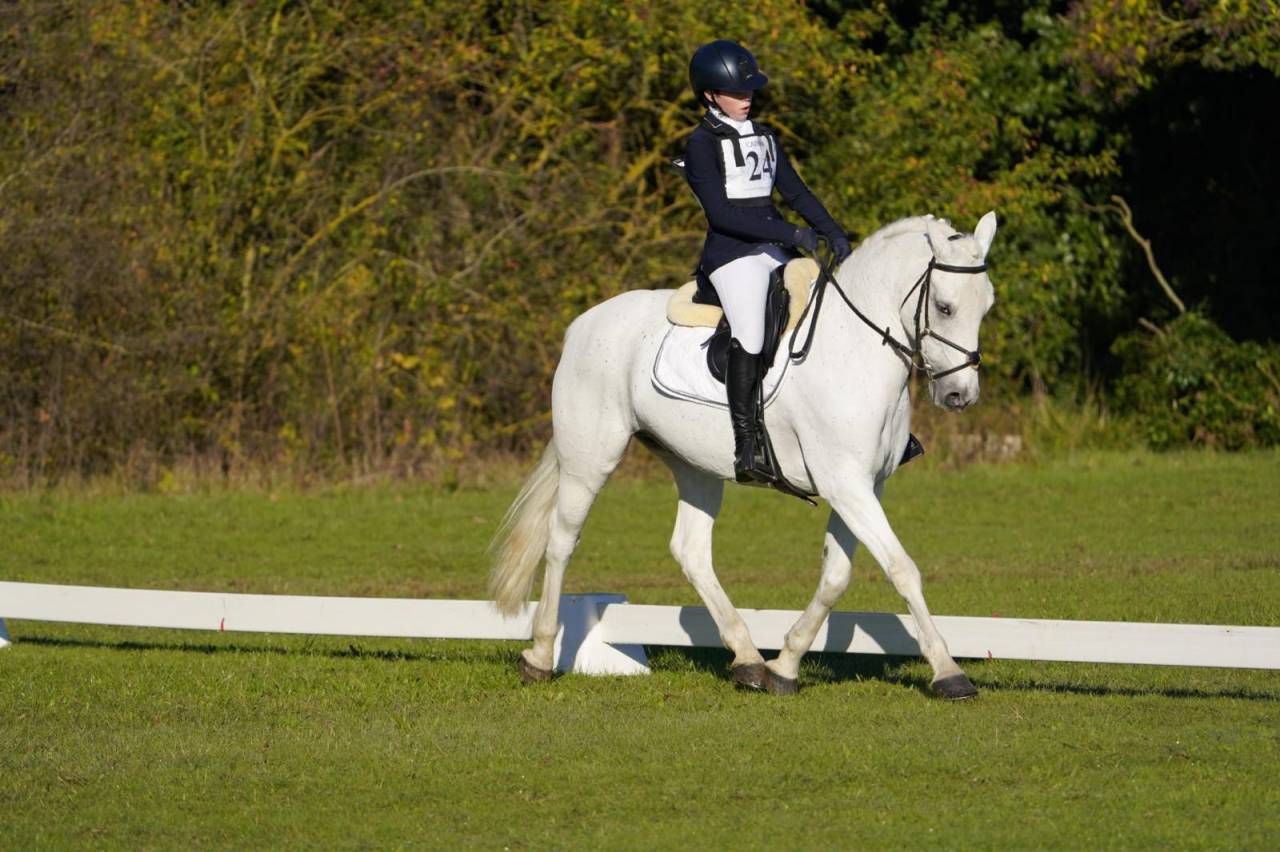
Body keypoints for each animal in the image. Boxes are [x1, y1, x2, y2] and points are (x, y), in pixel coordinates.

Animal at [489, 211, 998, 698]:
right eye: (945, 307)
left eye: (986, 307)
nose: (960, 395)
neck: (853, 347)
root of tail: (583, 324)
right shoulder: (846, 483)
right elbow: (902, 568)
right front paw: (949, 673)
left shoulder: (864, 485)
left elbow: (836, 575)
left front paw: (785, 666)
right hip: (590, 458)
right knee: (561, 541)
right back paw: (539, 656)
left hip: (694, 465)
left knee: (691, 551)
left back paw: (749, 660)